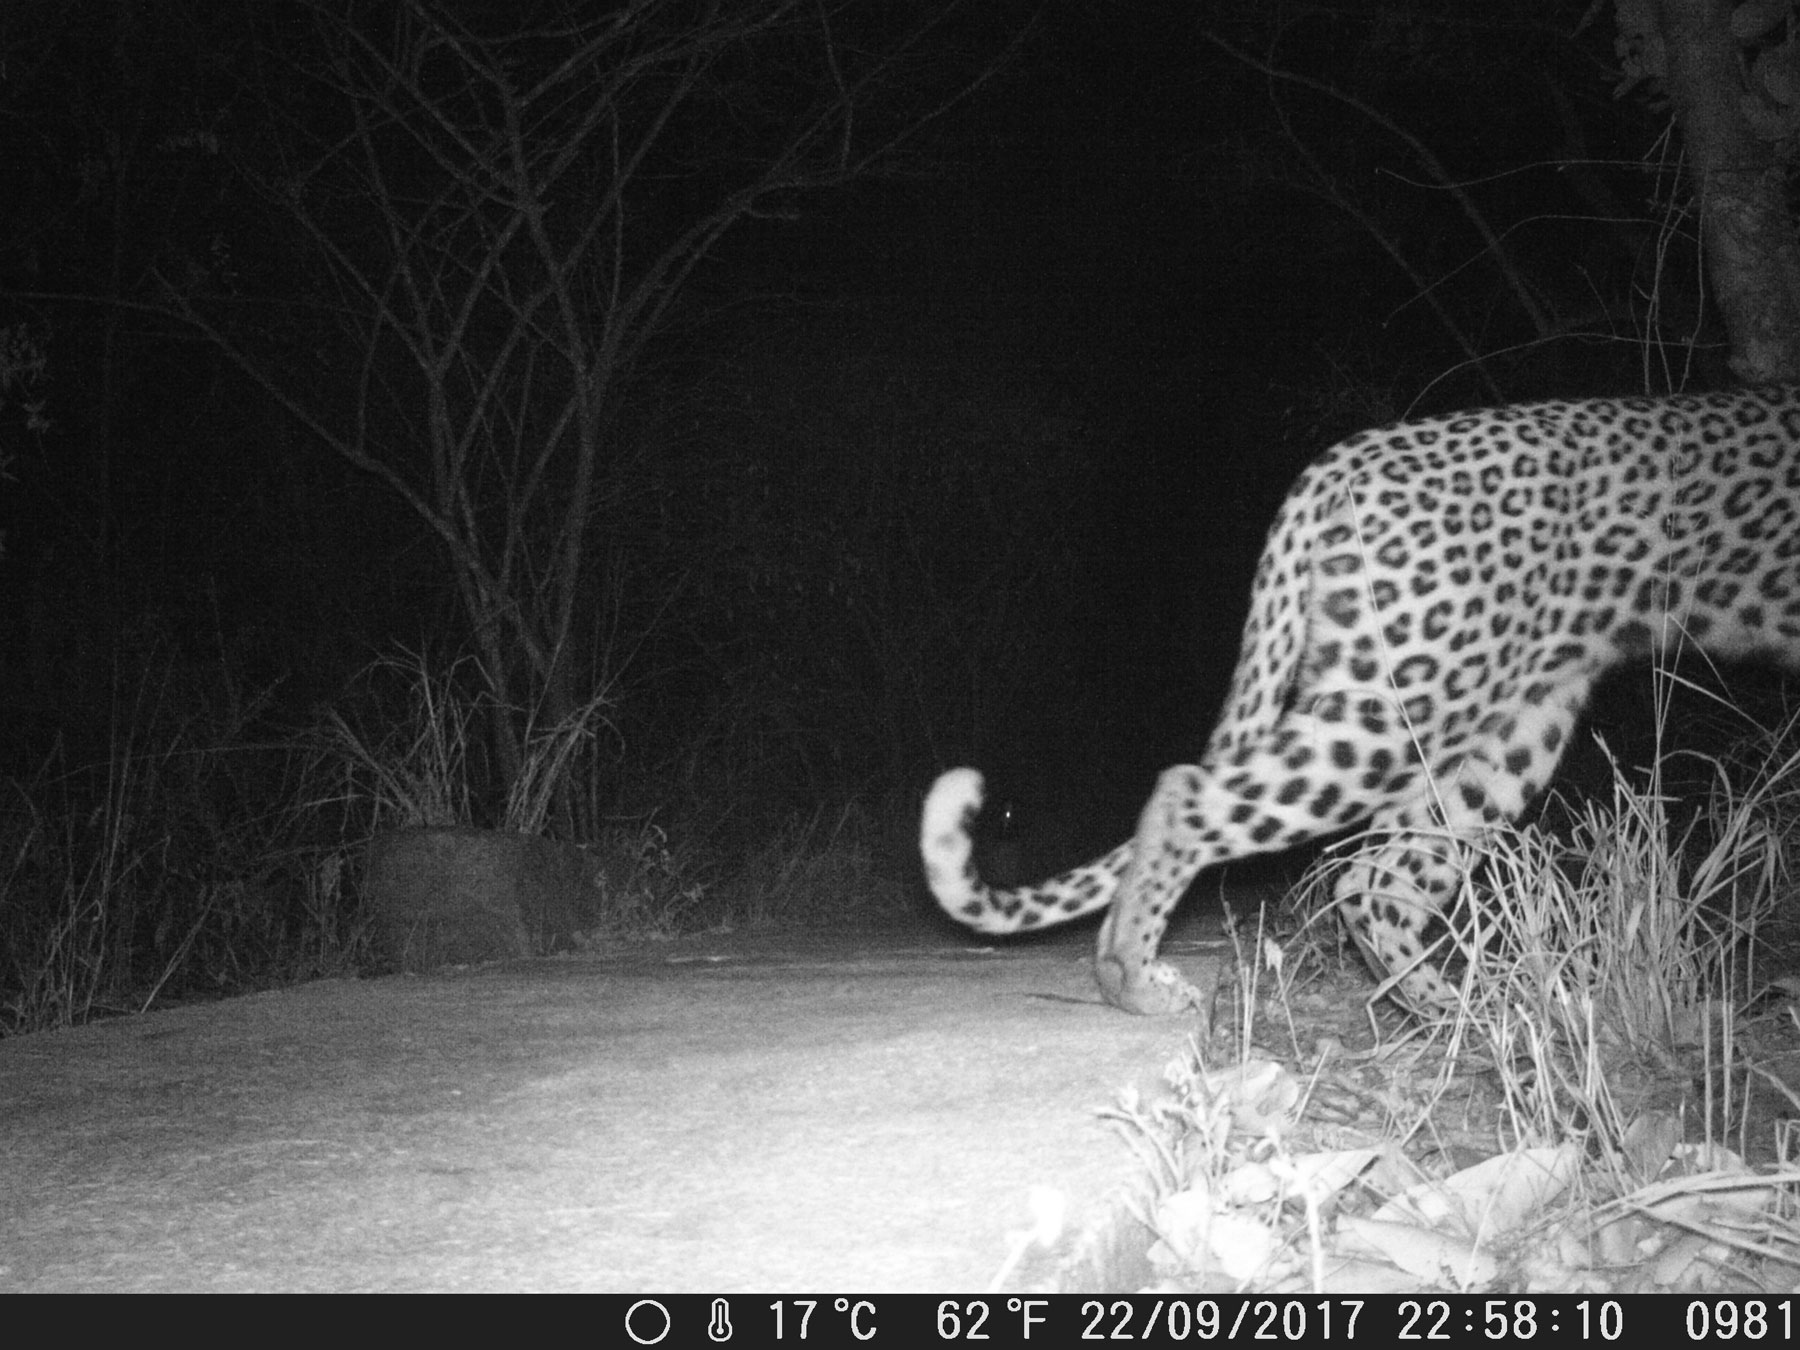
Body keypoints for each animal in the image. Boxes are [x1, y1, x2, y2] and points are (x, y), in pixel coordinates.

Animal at [920, 386, 1800, 1016]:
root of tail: (1348, 454)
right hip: (1399, 700)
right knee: (1189, 797)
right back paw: (1134, 983)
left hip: (1508, 720)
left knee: (1374, 878)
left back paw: (1465, 1014)